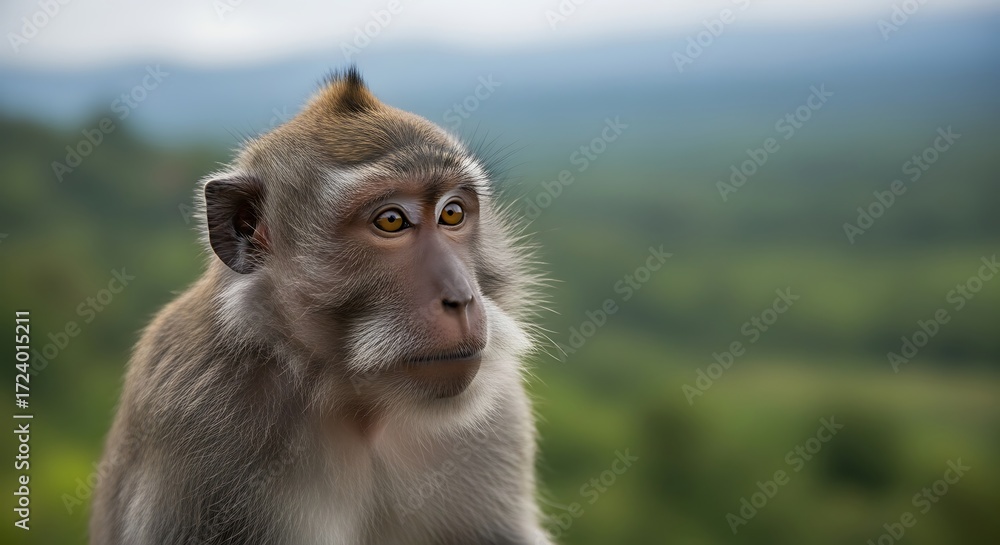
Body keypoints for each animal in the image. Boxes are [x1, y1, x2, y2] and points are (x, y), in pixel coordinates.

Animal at [90, 67, 552, 545]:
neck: (356, 403)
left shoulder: (499, 419)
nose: (461, 298)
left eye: (453, 213)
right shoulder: (202, 431)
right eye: (391, 221)